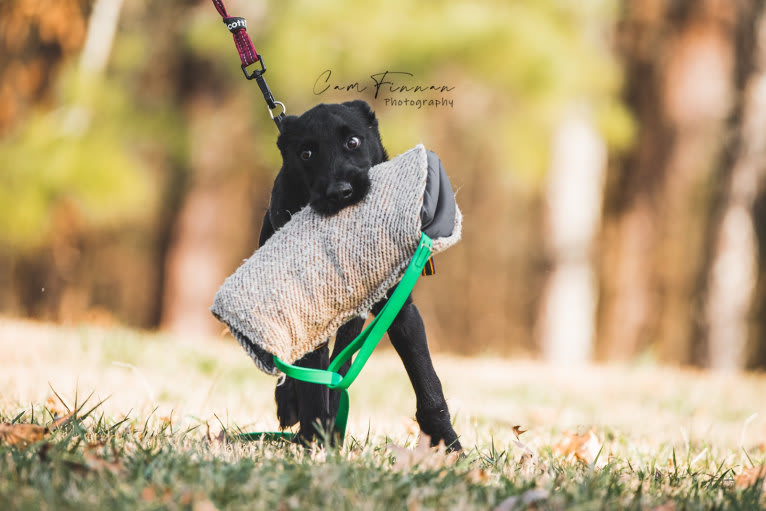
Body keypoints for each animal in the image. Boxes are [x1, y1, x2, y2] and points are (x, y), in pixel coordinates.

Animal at [258, 101, 462, 452]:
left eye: (353, 142)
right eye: (306, 153)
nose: (340, 192)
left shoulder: (400, 310)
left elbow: (428, 384)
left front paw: (448, 446)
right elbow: (312, 379)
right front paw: (314, 439)